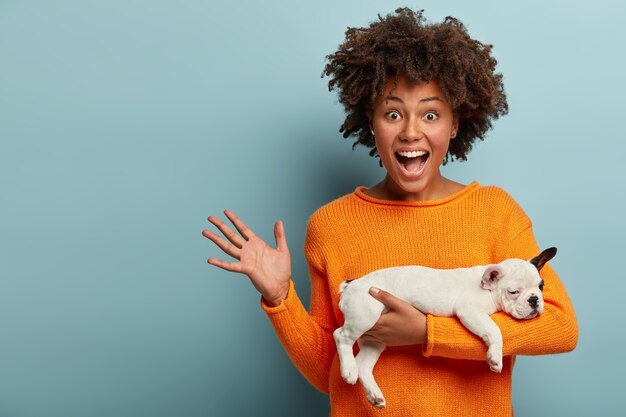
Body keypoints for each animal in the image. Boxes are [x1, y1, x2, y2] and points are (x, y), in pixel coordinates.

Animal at [332, 247, 556, 406]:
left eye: (541, 286)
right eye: (513, 292)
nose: (534, 300)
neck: (488, 288)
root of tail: (352, 284)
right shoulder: (470, 311)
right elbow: (494, 330)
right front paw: (495, 358)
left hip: (375, 339)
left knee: (364, 365)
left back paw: (373, 394)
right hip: (365, 315)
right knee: (340, 335)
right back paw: (348, 370)